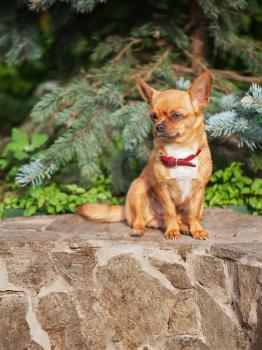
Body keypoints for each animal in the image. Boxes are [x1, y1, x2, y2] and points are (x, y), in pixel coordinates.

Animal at [77, 71, 212, 241]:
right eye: (153, 116)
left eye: (176, 116)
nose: (158, 127)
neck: (180, 153)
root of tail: (124, 209)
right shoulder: (162, 188)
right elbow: (170, 212)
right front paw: (172, 231)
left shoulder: (199, 189)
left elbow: (193, 214)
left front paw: (197, 230)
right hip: (138, 186)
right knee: (141, 220)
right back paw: (140, 229)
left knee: (182, 218)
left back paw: (184, 227)